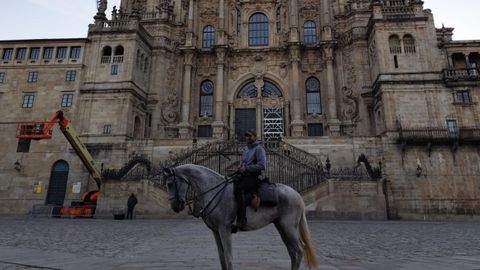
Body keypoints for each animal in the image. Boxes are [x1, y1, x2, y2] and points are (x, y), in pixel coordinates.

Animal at [164, 163, 318, 268]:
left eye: (170, 183)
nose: (175, 206)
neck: (214, 191)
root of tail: (296, 194)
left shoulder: (225, 228)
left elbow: (228, 258)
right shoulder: (216, 231)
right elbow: (222, 258)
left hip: (289, 226)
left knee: (299, 249)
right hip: (281, 226)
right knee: (292, 251)